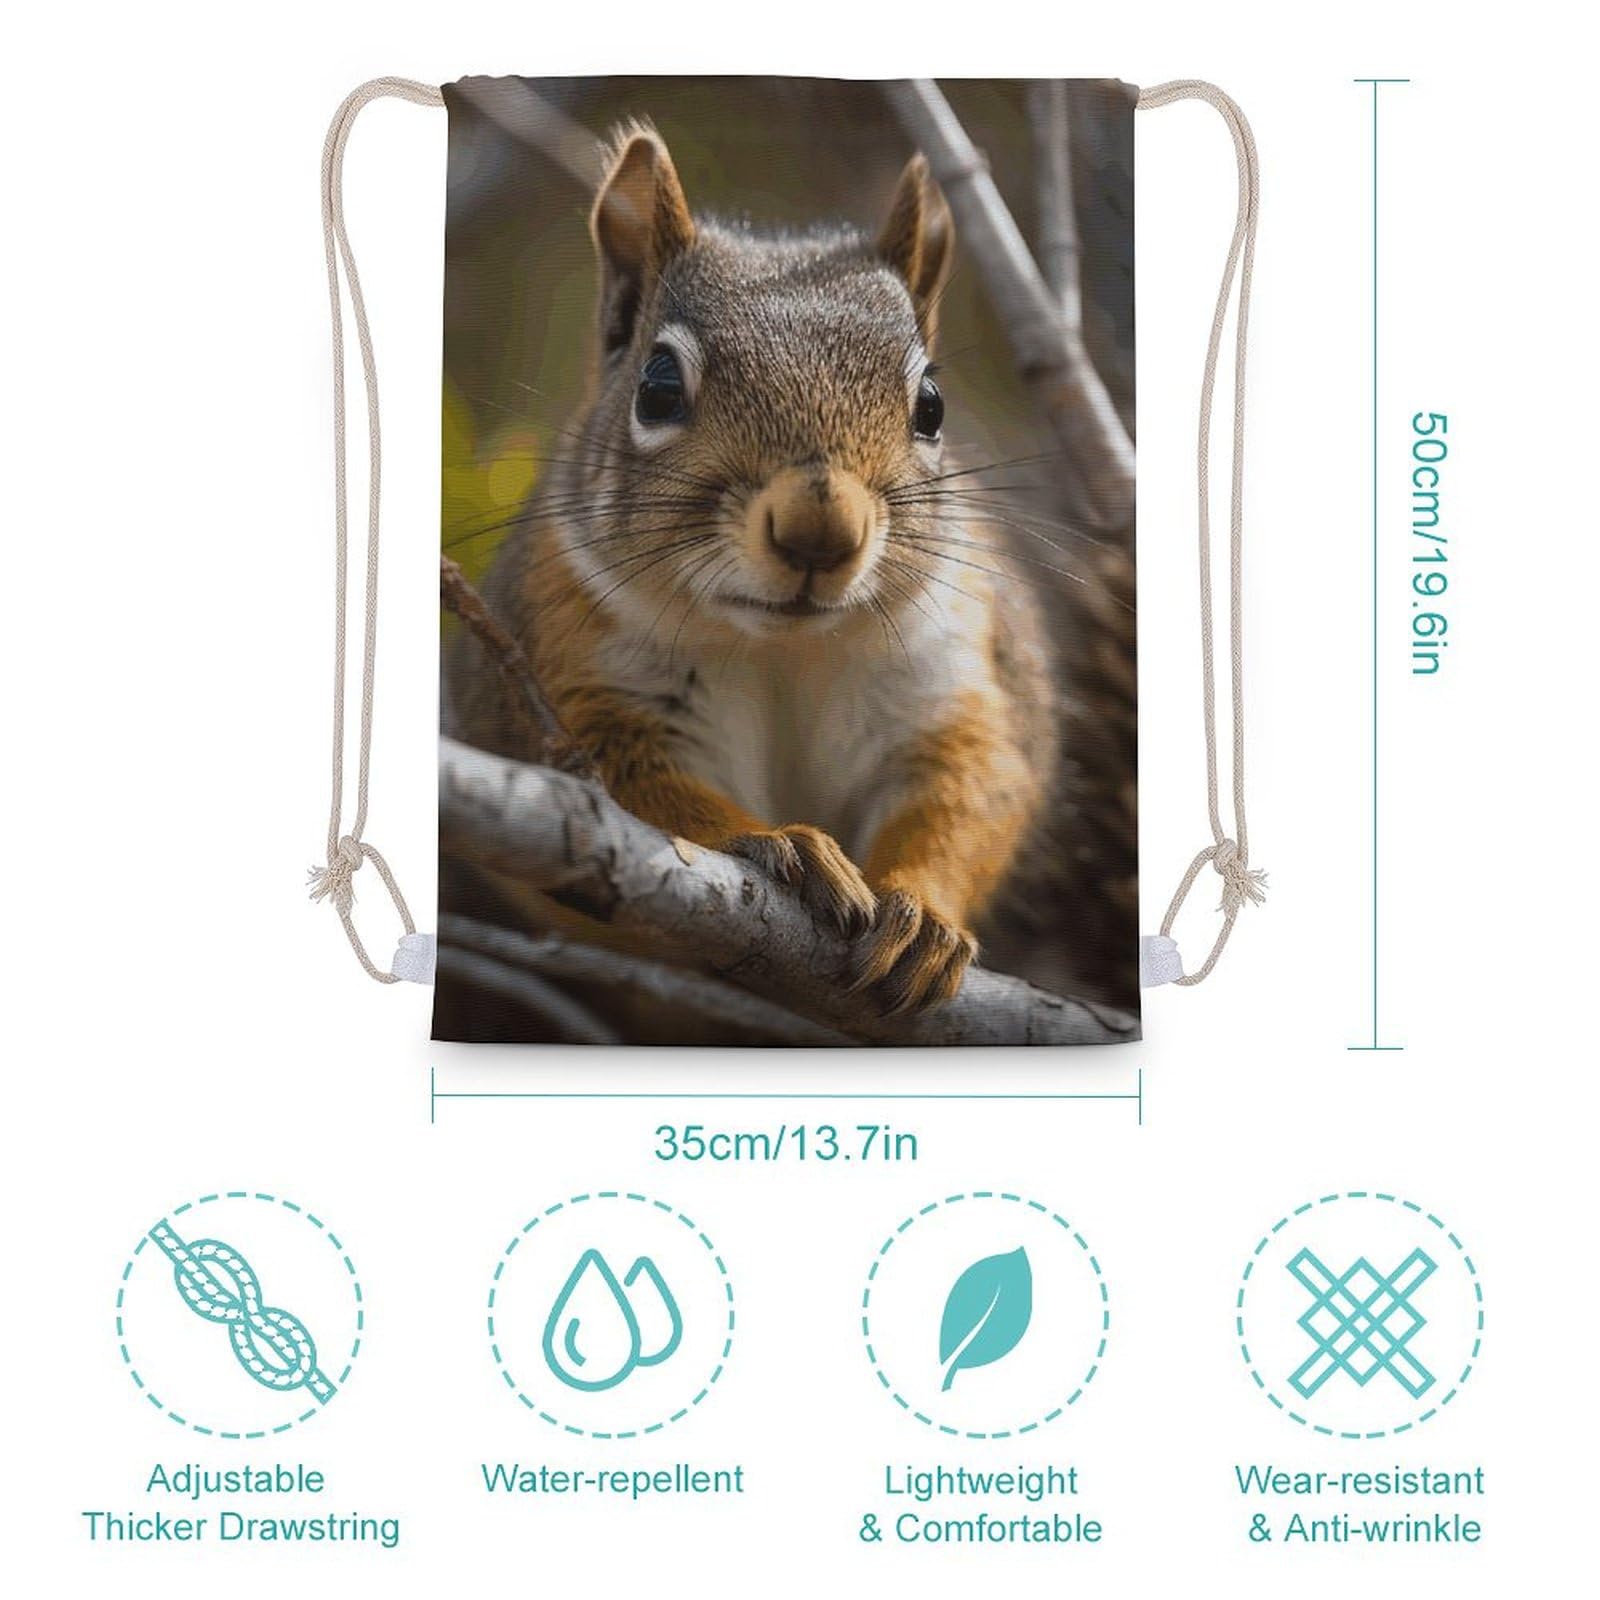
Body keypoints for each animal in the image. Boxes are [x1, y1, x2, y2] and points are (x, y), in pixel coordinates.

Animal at [449, 126, 1061, 1015]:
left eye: (932, 406)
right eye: (657, 388)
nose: (820, 532)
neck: (783, 649)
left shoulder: (951, 671)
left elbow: (969, 789)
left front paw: (924, 917)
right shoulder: (576, 674)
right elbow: (641, 791)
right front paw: (783, 844)